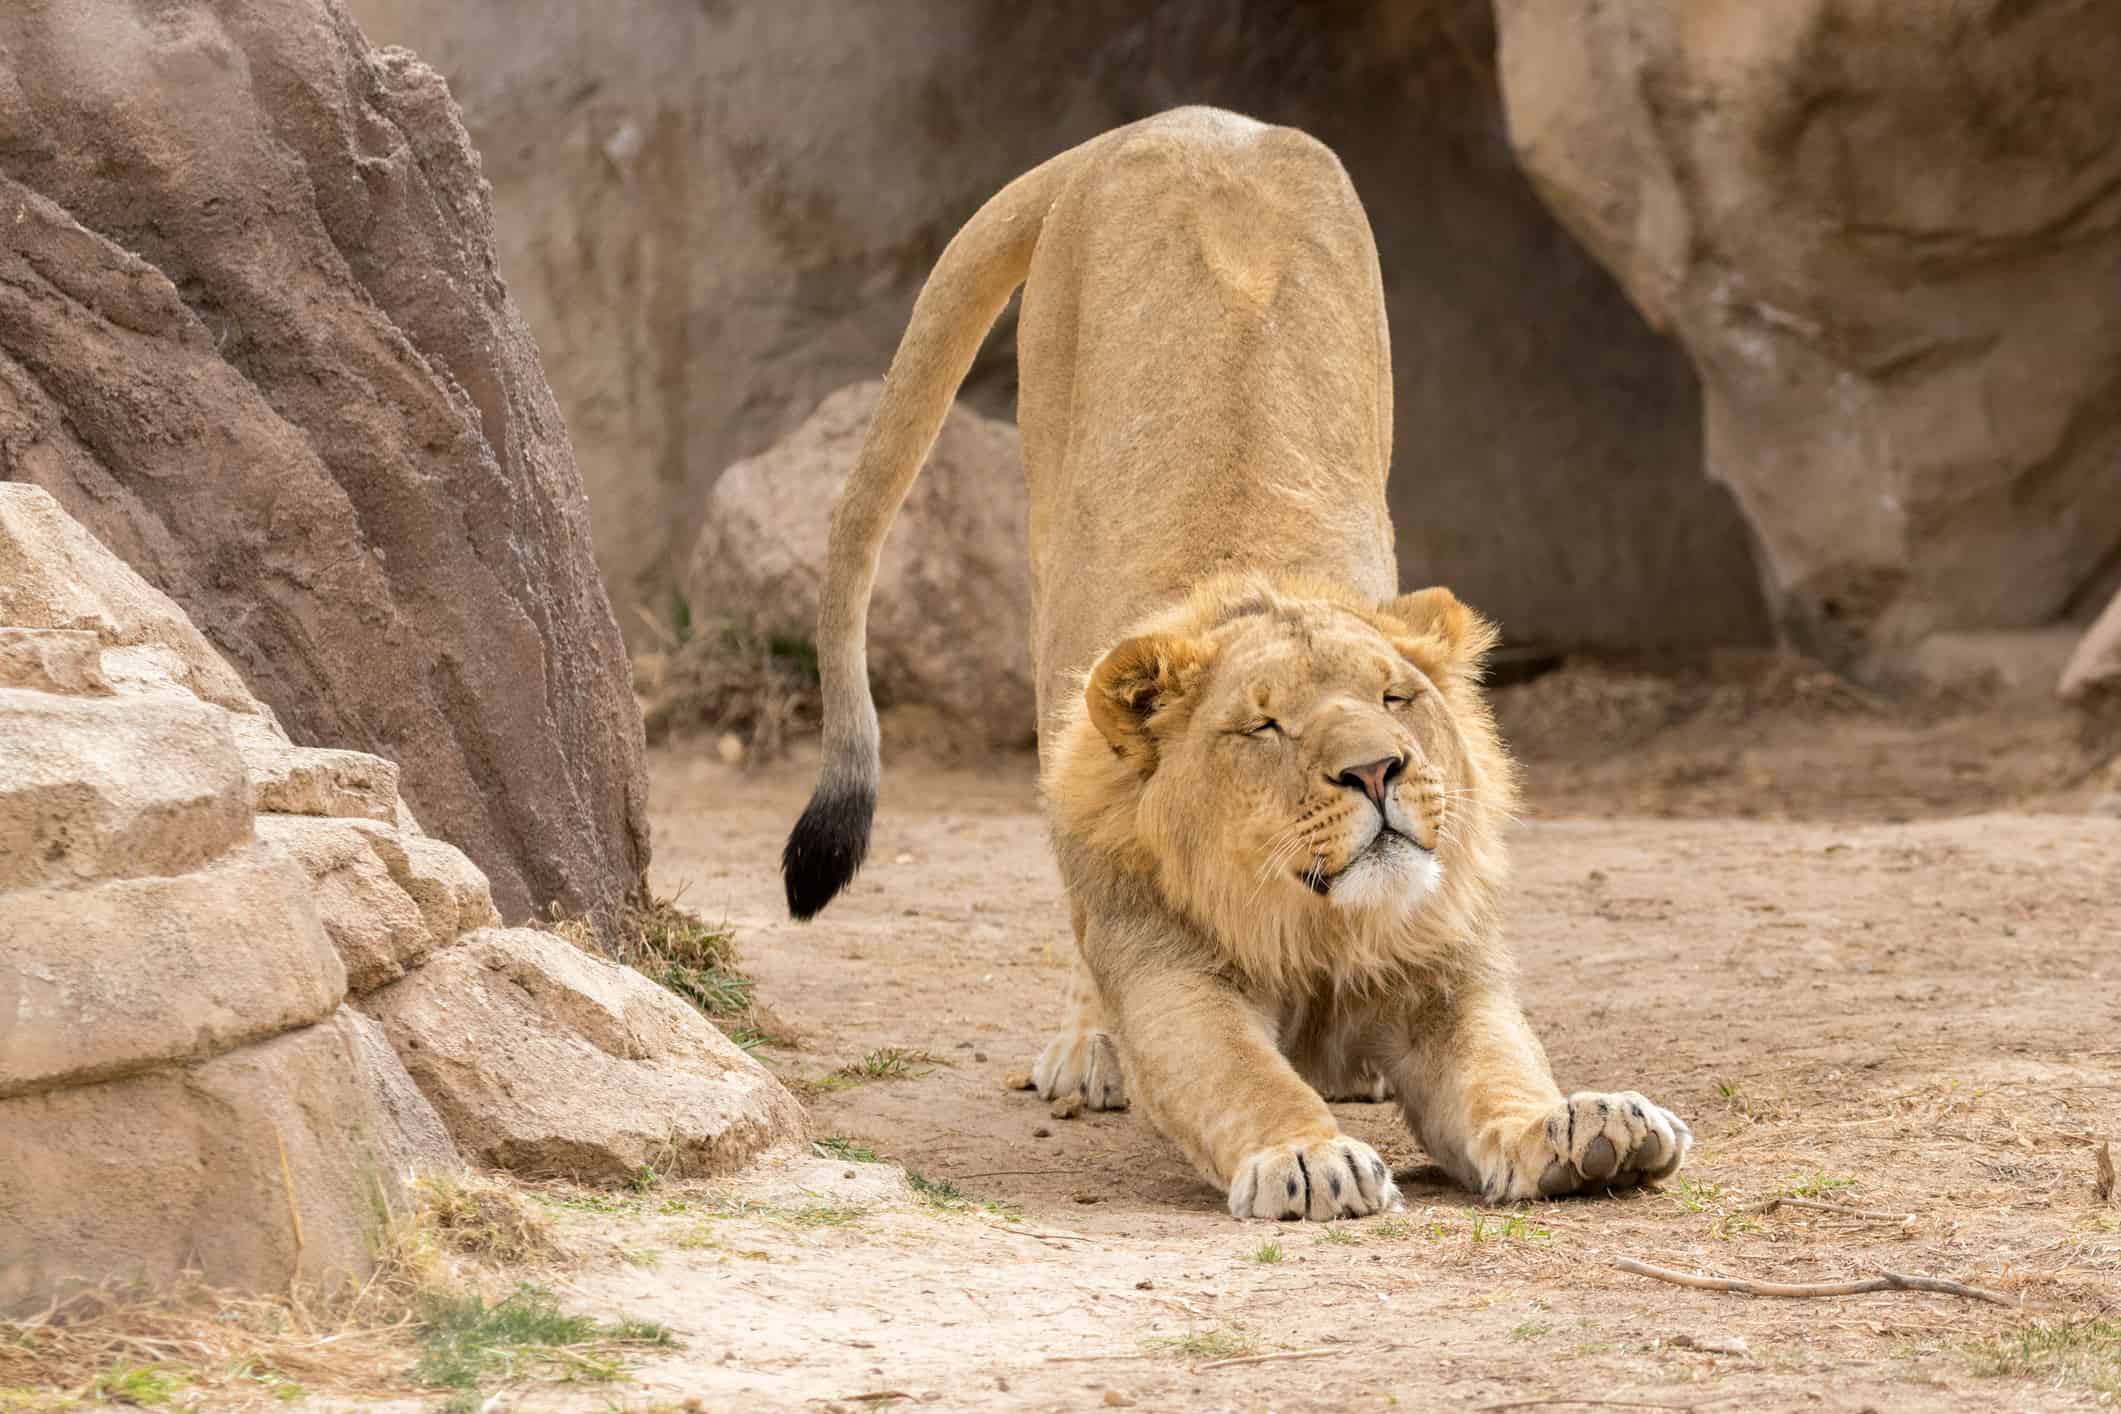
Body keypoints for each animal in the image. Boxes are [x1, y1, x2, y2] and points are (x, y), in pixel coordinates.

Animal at [780, 108, 1688, 1221]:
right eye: (1266, 725)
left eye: (1396, 697)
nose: (1378, 770)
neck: (1319, 928)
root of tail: (1166, 122)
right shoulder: (1170, 967)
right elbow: (1239, 1075)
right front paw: (1307, 1157)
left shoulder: (1447, 966)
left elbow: (1502, 1068)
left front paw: (1581, 1126)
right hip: (1055, 609)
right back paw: (1091, 1049)